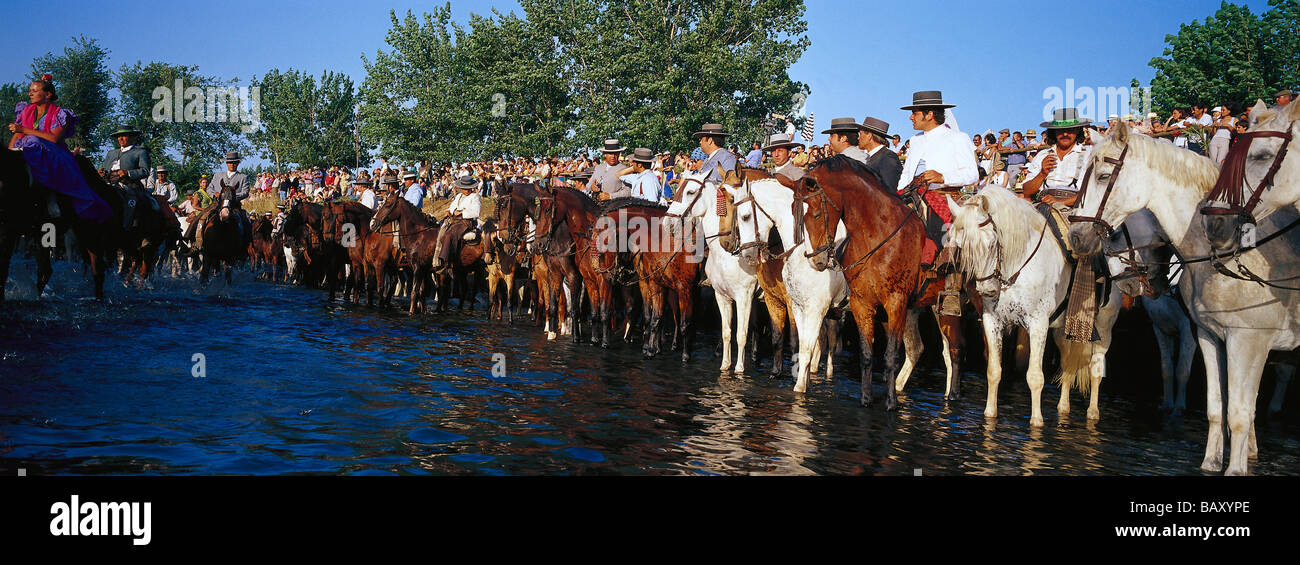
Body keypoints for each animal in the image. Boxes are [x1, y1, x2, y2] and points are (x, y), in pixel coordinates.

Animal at [665, 172, 759, 376]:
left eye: (690, 192)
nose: (667, 222)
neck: (726, 252)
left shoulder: (745, 296)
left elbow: (741, 334)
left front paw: (739, 369)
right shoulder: (721, 295)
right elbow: (726, 332)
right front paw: (725, 364)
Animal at [733, 177, 852, 394]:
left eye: (745, 217)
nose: (747, 256)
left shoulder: (814, 309)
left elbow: (803, 346)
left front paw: (799, 386)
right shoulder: (796, 306)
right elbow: (800, 343)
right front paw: (801, 381)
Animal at [790, 153, 956, 410]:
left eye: (816, 214)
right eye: (794, 213)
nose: (816, 260)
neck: (877, 235)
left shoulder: (894, 302)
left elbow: (888, 355)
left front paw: (890, 403)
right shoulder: (862, 303)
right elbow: (866, 354)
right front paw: (866, 399)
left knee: (956, 354)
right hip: (923, 307)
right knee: (921, 349)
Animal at [946, 188, 1128, 426]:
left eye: (992, 244)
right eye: (960, 247)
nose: (987, 289)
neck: (1018, 266)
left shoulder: (1038, 324)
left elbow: (1035, 377)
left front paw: (1037, 421)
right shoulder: (992, 320)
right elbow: (994, 371)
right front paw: (990, 414)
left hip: (1105, 326)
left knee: (1096, 369)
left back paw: (1093, 413)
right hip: (1062, 331)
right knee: (1068, 364)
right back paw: (1063, 408)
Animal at [1066, 125, 1300, 475]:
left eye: (1104, 176)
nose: (1076, 237)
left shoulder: (1245, 340)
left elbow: (1234, 407)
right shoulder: (1207, 335)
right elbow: (1216, 403)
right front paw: (1213, 460)